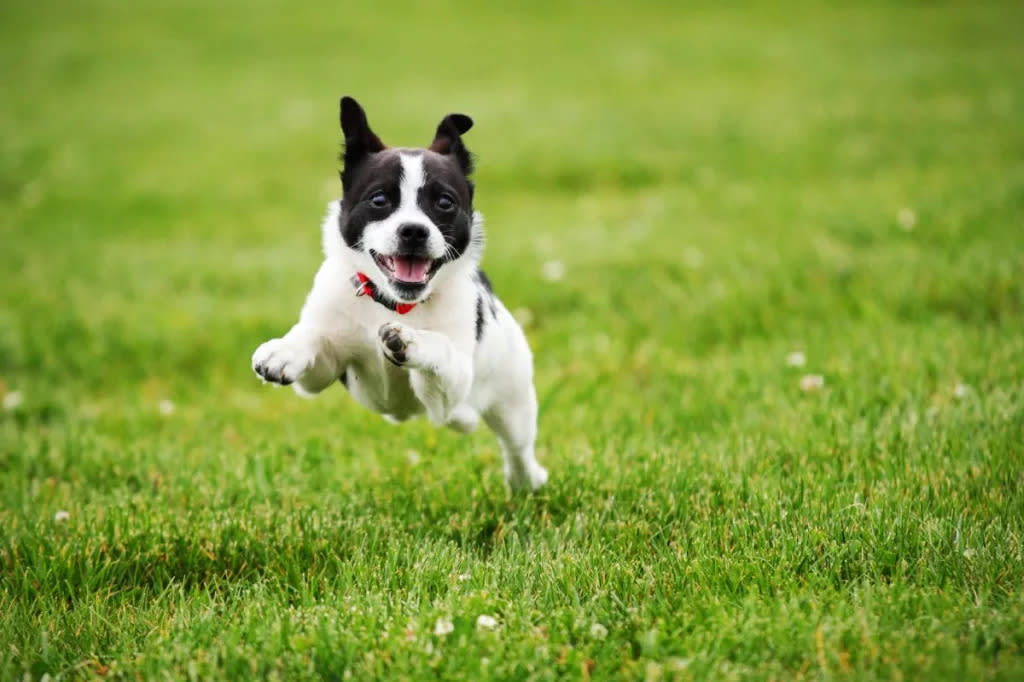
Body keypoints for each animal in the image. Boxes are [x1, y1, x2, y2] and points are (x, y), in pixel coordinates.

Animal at [250, 96, 548, 489]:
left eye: (444, 202)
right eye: (379, 200)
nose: (413, 231)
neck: (393, 303)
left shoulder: (451, 383)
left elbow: (440, 348)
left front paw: (410, 340)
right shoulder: (321, 375)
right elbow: (313, 337)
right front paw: (284, 350)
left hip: (512, 398)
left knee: (515, 445)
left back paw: (525, 479)